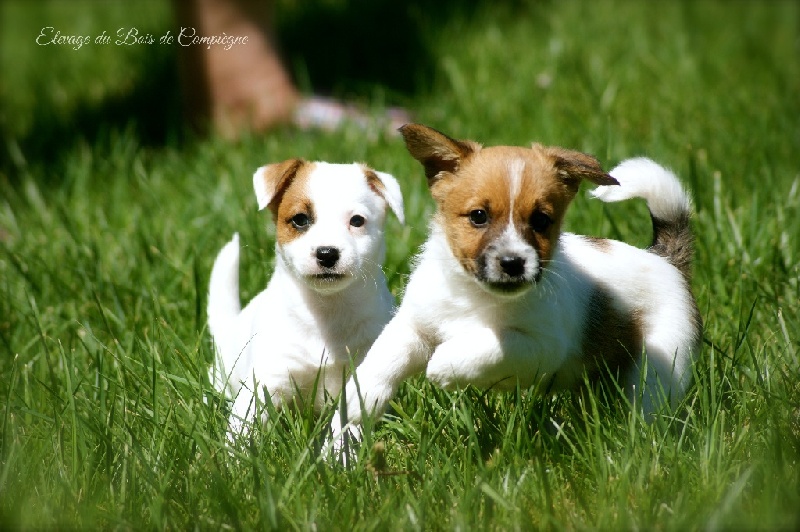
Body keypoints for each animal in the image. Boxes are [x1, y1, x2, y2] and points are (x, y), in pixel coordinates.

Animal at [209, 160, 404, 434]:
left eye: (357, 221)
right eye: (300, 220)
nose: (327, 253)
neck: (327, 311)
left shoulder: (358, 381)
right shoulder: (266, 380)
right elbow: (243, 425)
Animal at [332, 122, 700, 446]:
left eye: (541, 220)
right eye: (478, 216)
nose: (513, 263)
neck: (474, 296)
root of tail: (665, 259)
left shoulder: (540, 346)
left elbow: (489, 346)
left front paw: (444, 364)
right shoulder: (415, 325)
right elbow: (383, 358)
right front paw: (359, 400)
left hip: (658, 368)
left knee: (647, 406)